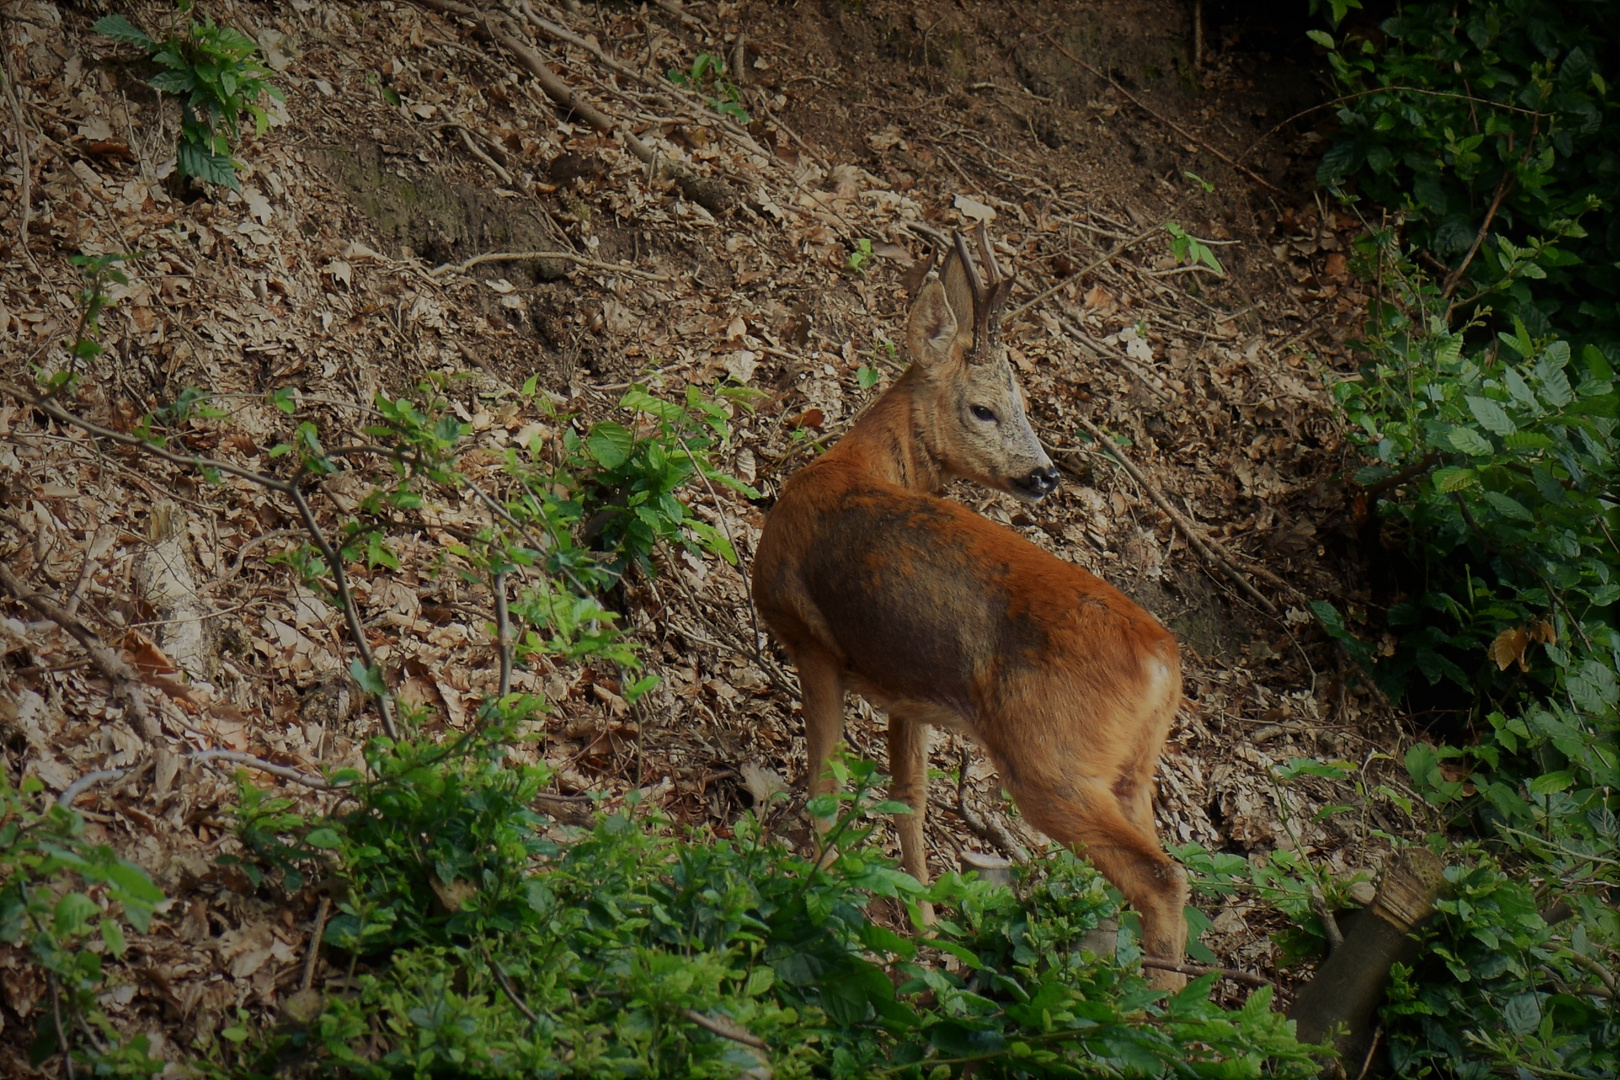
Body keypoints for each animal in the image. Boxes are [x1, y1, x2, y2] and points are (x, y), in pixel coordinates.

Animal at [748, 226, 1192, 990]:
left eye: (1024, 405)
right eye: (986, 407)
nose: (1045, 474)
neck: (860, 463)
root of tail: (1166, 663)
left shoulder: (814, 644)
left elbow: (825, 779)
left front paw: (815, 894)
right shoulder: (906, 691)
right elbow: (911, 797)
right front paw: (925, 926)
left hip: (1050, 756)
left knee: (1161, 878)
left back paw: (1145, 1008)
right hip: (1130, 770)